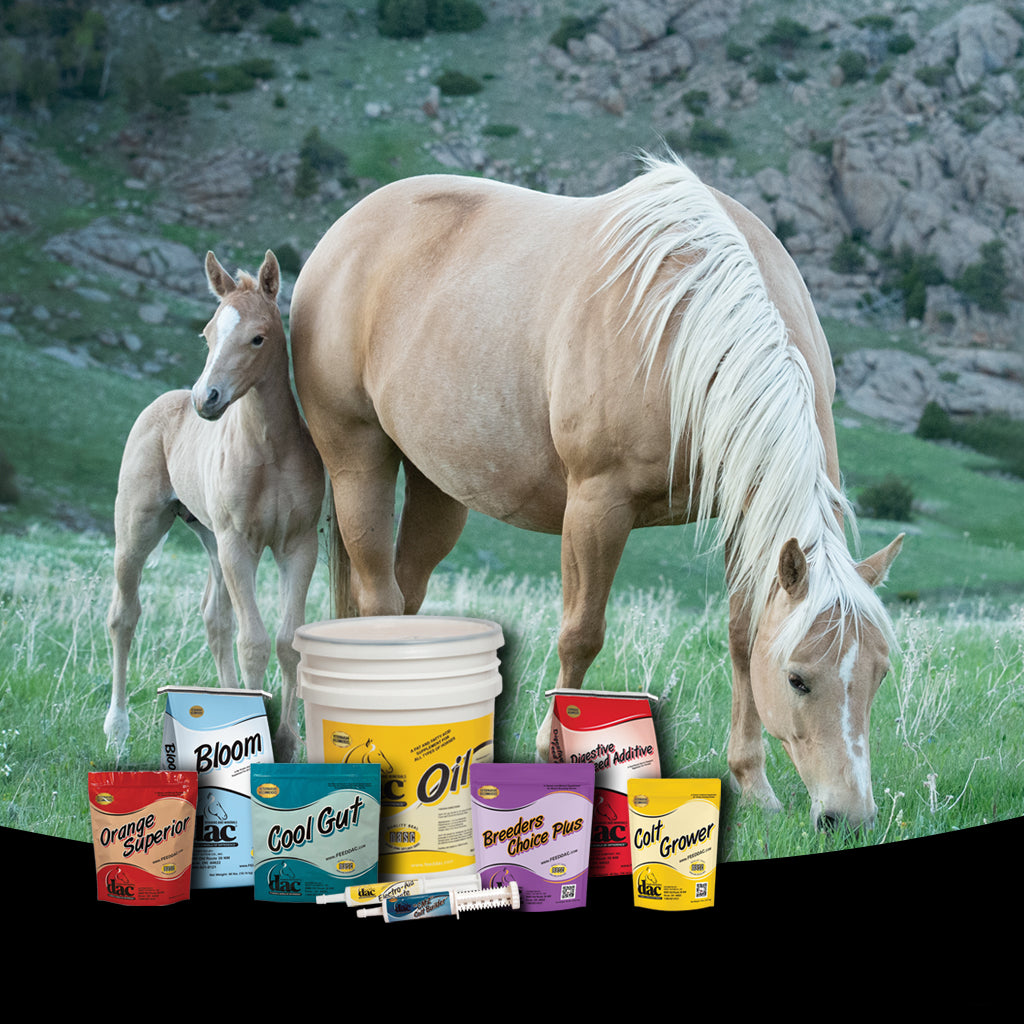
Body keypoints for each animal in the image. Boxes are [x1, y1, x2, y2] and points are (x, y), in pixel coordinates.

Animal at [104, 250, 325, 763]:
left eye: (257, 337)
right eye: (207, 333)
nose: (206, 399)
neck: (269, 451)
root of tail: (163, 402)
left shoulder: (297, 546)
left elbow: (287, 642)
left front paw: (288, 740)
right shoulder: (239, 544)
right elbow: (254, 642)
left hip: (209, 539)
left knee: (215, 619)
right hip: (141, 528)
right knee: (124, 615)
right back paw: (117, 732)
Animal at [288, 156, 903, 830]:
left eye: (878, 674)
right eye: (798, 680)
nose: (849, 816)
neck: (687, 326)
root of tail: (347, 230)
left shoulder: (746, 519)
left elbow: (743, 639)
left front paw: (753, 784)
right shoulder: (595, 507)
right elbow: (581, 633)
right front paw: (553, 754)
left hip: (437, 489)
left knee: (407, 593)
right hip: (358, 463)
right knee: (378, 598)